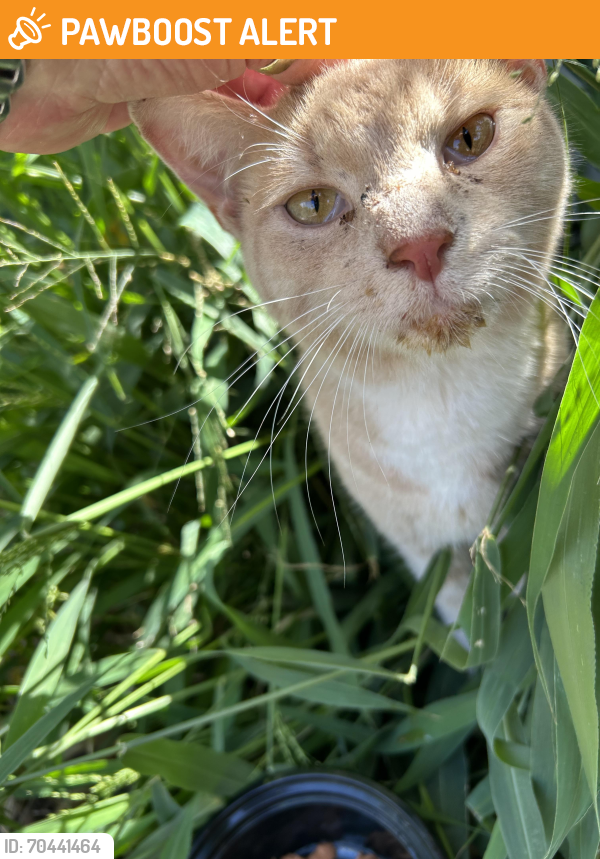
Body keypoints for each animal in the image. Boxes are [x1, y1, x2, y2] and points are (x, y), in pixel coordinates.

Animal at [129, 60, 568, 624]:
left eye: (471, 137)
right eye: (311, 204)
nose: (418, 243)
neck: (442, 400)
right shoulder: (430, 556)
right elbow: (459, 614)